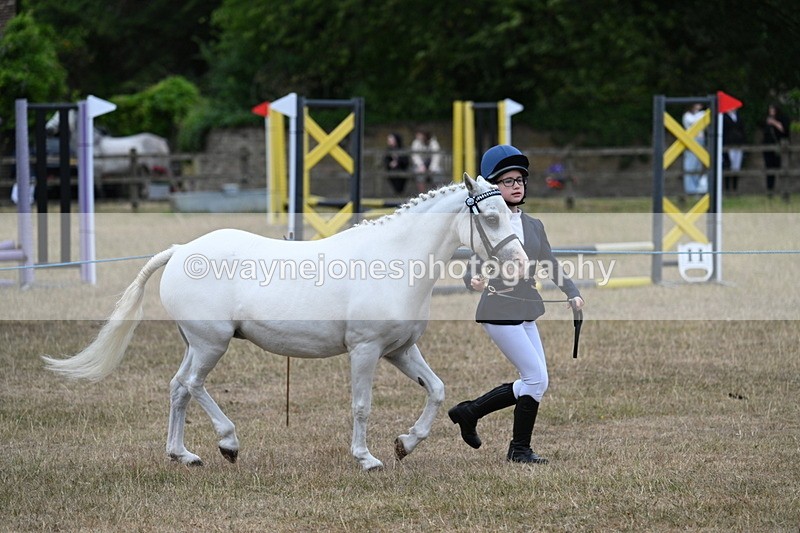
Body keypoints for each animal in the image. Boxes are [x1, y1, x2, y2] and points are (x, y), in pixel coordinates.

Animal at [42, 175, 527, 471]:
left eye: (511, 211)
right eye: (490, 217)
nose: (520, 266)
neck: (395, 260)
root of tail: (181, 250)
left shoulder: (399, 350)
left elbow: (437, 389)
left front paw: (405, 444)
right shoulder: (366, 350)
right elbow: (362, 405)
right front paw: (367, 458)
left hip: (195, 343)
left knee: (178, 387)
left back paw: (184, 455)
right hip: (212, 343)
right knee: (194, 385)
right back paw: (228, 443)